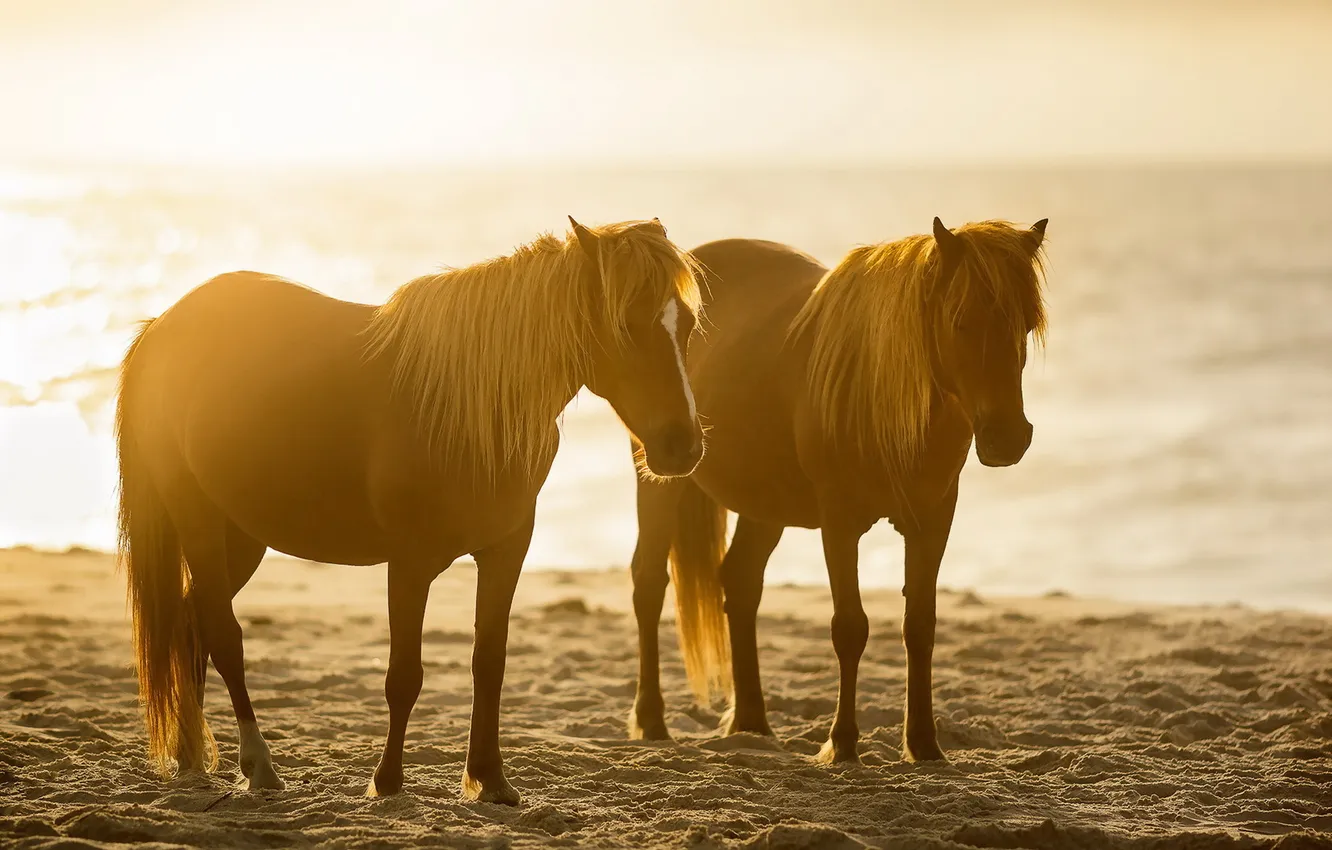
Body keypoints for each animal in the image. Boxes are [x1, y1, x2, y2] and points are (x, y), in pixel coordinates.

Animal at [116, 217, 704, 804]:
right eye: (627, 324)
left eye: (689, 326)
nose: (683, 448)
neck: (472, 405)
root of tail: (163, 327)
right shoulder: (411, 562)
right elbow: (404, 675)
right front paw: (388, 780)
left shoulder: (506, 551)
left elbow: (489, 663)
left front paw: (490, 778)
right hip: (198, 522)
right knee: (223, 634)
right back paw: (258, 764)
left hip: (242, 535)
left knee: (190, 622)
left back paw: (190, 754)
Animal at [626, 217, 1048, 765]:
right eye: (960, 321)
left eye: (1026, 324)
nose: (1007, 438)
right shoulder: (840, 522)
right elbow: (850, 627)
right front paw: (842, 742)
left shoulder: (933, 520)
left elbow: (920, 626)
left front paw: (924, 744)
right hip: (658, 481)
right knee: (649, 583)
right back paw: (653, 721)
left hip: (766, 502)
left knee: (740, 582)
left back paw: (752, 721)